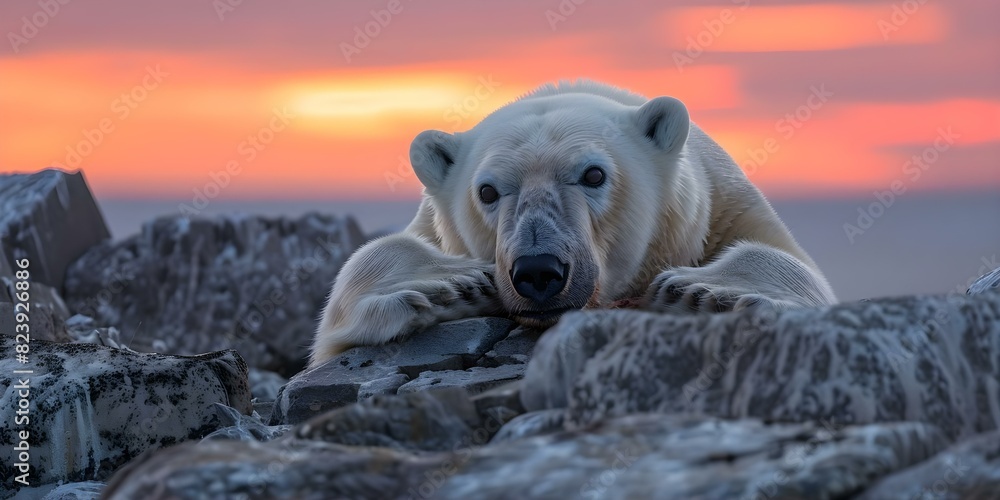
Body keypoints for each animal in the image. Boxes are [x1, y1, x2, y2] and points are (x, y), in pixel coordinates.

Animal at [309, 80, 836, 368]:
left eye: (594, 174)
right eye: (487, 191)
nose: (538, 271)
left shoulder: (726, 208)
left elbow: (787, 260)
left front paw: (701, 290)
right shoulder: (432, 226)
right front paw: (450, 284)